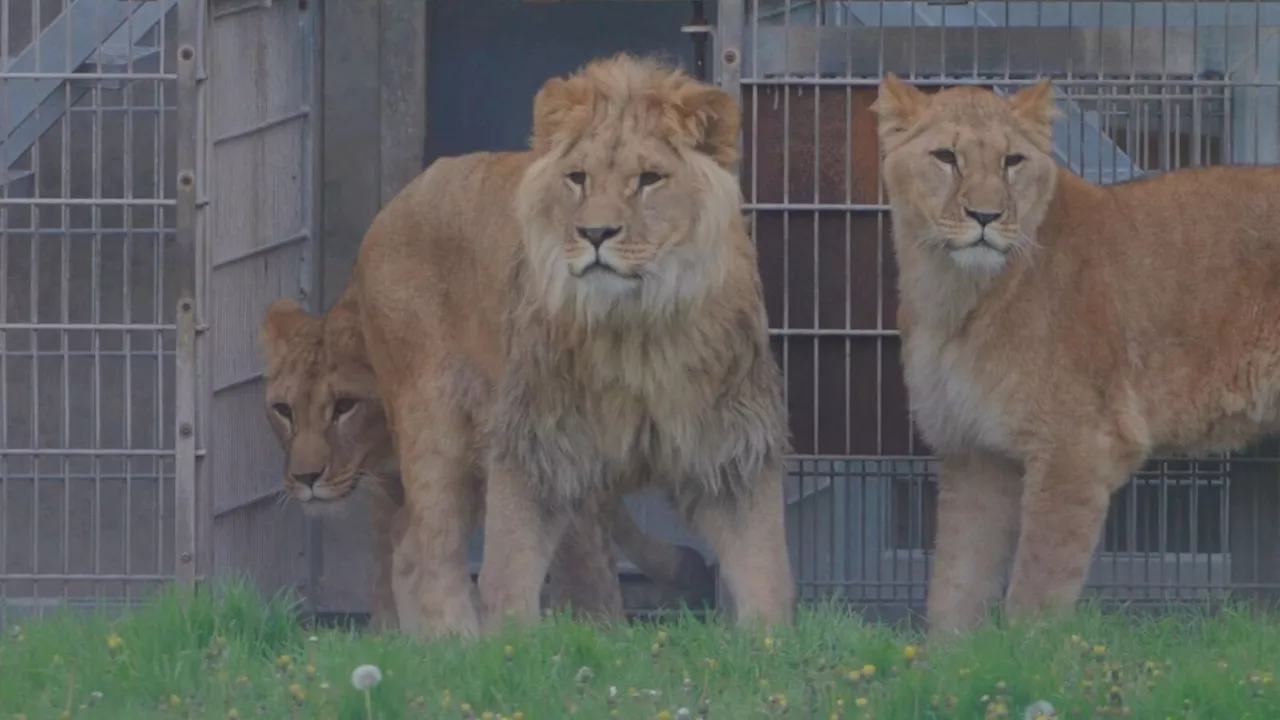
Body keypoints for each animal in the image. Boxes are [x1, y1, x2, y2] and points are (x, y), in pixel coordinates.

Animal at [257, 286, 711, 632]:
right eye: (283, 410)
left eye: (344, 406)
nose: (305, 477)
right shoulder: (390, 489)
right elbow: (390, 557)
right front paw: (388, 638)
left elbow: (587, 555)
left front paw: (600, 632)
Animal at [355, 53, 793, 632]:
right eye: (578, 179)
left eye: (649, 179)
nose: (596, 233)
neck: (637, 331)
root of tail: (395, 203)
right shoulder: (536, 439)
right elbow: (512, 568)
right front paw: (510, 644)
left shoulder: (730, 444)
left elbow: (765, 569)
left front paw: (769, 642)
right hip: (435, 426)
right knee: (427, 550)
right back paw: (457, 640)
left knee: (407, 541)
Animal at [875, 73, 1280, 632]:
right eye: (945, 156)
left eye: (1012, 161)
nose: (985, 215)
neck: (952, 293)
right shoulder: (974, 450)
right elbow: (955, 584)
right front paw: (947, 655)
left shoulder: (1078, 444)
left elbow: (1037, 586)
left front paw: (1030, 651)